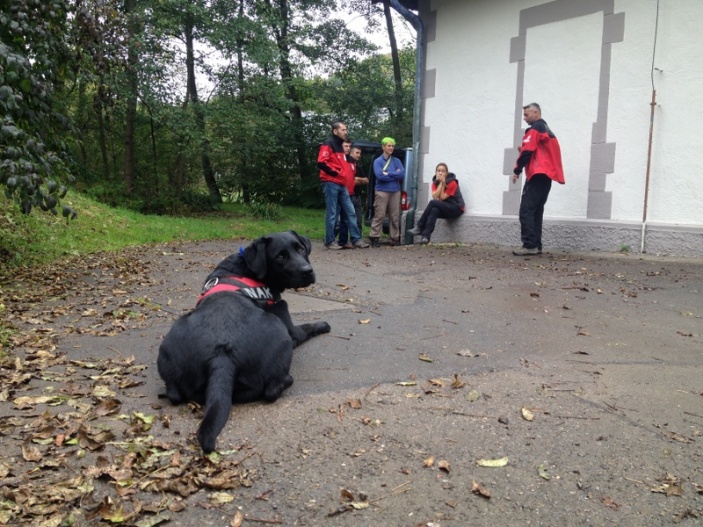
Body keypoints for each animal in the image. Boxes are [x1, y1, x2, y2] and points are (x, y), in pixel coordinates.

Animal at [160, 231, 332, 454]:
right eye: (280, 257)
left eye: (301, 249)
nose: (307, 271)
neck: (246, 268)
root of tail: (221, 357)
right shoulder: (289, 326)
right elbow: (308, 326)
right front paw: (323, 324)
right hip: (280, 334)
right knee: (271, 390)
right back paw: (286, 380)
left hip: (169, 344)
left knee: (173, 392)